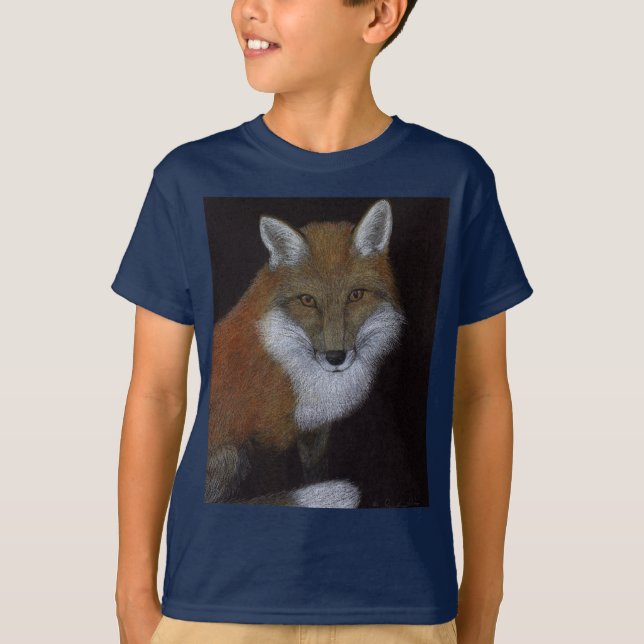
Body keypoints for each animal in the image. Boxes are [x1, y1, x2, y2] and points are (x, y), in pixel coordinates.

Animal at [204, 198, 407, 508]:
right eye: (308, 301)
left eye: (356, 295)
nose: (335, 357)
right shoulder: (265, 439)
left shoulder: (315, 428)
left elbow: (315, 471)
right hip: (230, 455)